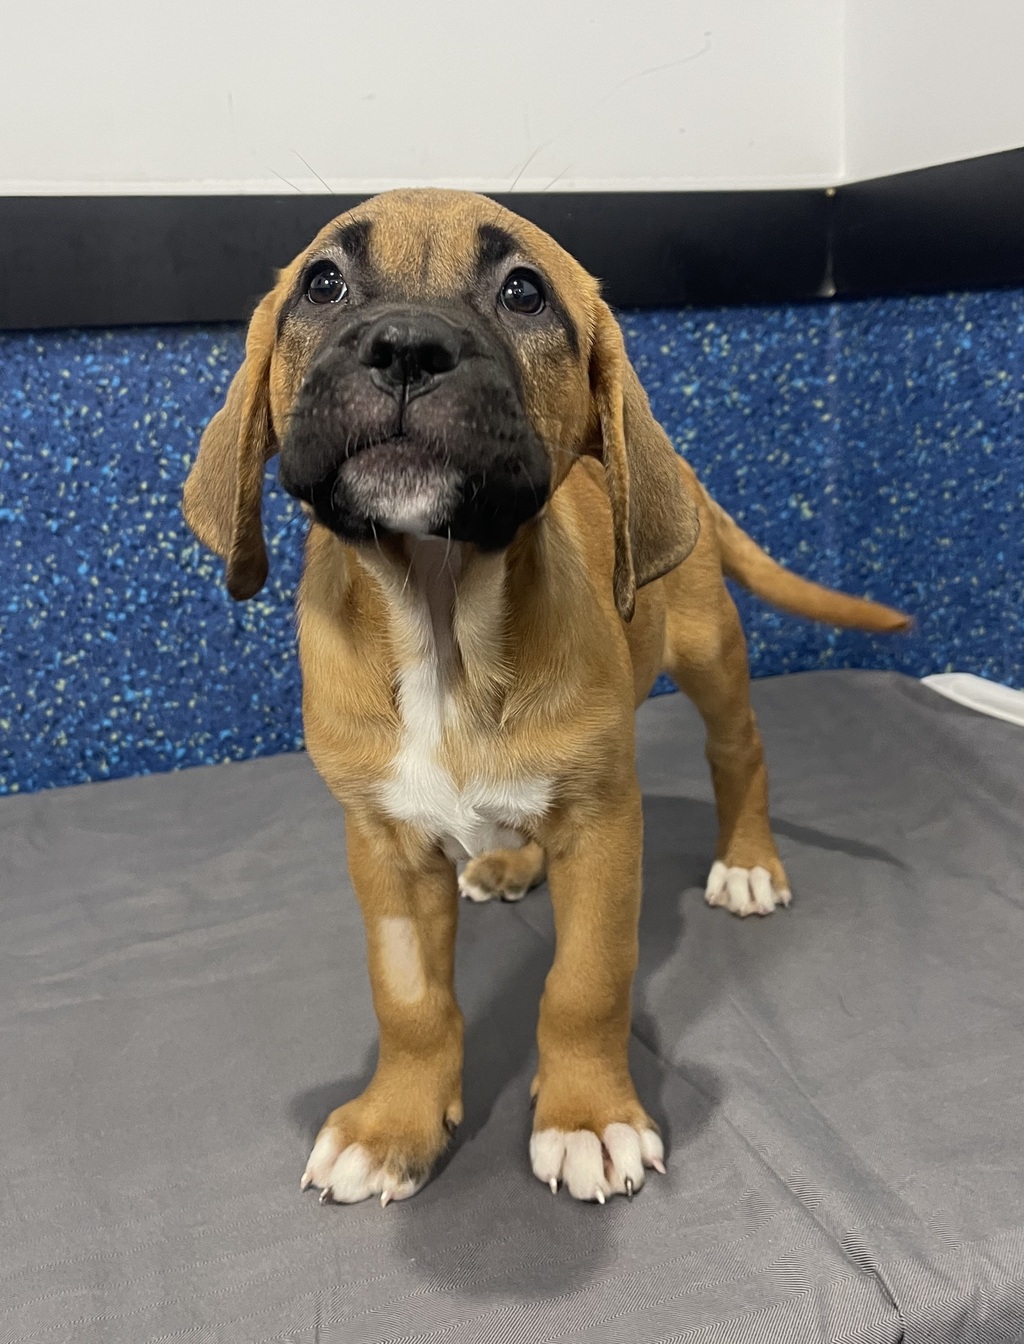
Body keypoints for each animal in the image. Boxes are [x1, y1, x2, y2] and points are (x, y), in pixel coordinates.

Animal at [183, 189, 909, 1207]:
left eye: (523, 292)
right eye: (322, 284)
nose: (405, 346)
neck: (441, 614)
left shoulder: (606, 825)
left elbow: (585, 982)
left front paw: (586, 1116)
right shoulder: (383, 845)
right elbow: (408, 998)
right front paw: (394, 1123)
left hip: (710, 652)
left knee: (740, 753)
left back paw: (747, 861)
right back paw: (510, 863)